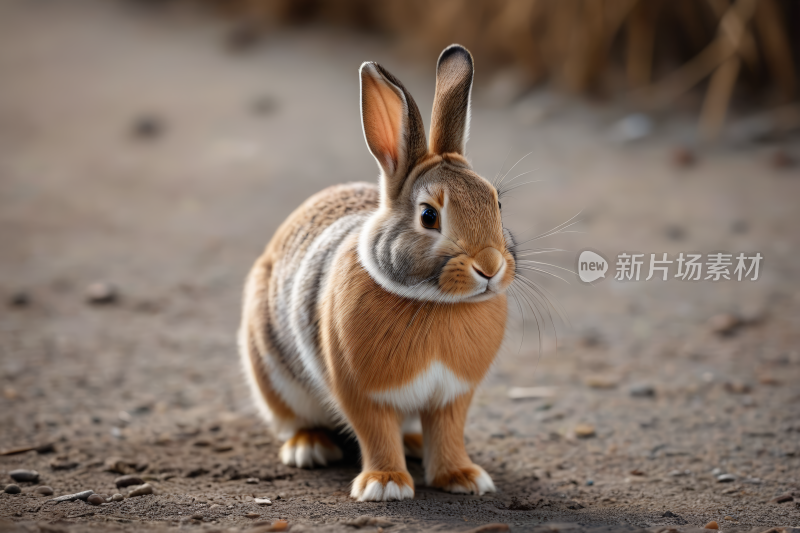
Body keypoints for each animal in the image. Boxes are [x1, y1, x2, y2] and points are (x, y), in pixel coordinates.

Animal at [238, 43, 516, 500]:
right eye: (428, 216)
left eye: (496, 203)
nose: (490, 267)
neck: (434, 301)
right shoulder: (362, 392)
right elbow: (376, 433)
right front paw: (385, 485)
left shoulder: (453, 395)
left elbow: (448, 433)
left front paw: (462, 477)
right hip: (272, 376)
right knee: (294, 420)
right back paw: (309, 447)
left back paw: (415, 443)